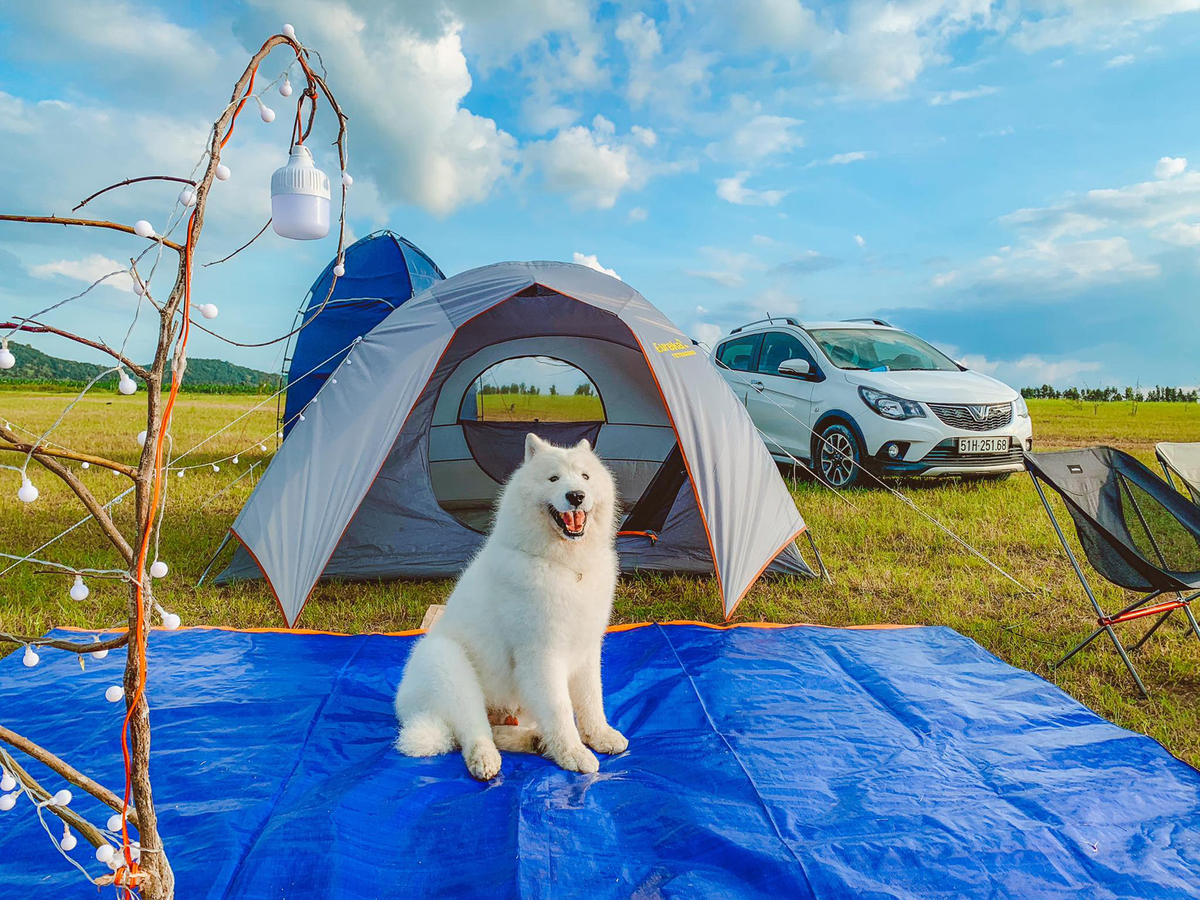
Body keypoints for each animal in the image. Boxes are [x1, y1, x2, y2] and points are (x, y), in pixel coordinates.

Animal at [398, 436, 633, 782]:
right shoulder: (542, 657)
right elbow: (562, 711)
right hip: (448, 663)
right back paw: (486, 760)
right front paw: (575, 754)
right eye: (553, 479)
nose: (576, 496)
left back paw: (535, 741)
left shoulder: (587, 648)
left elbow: (592, 700)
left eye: (585, 477)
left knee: (496, 730)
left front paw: (599, 736)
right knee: (472, 733)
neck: (566, 565)